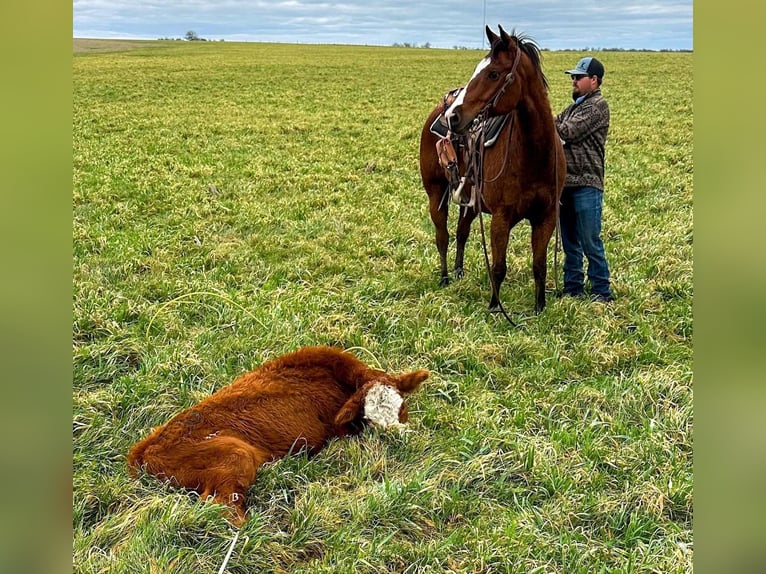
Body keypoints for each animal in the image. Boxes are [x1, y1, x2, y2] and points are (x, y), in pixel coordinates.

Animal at [419, 25, 566, 314]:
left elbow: (539, 265)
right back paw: (444, 277)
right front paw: (495, 306)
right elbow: (498, 267)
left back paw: (459, 272)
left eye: (493, 73)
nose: (453, 116)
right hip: (435, 193)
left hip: (470, 201)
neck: (535, 155)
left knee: (462, 233)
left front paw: (539, 307)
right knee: (443, 236)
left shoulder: (546, 217)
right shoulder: (501, 218)